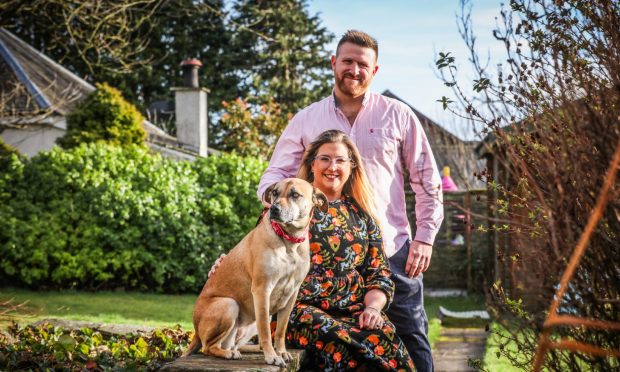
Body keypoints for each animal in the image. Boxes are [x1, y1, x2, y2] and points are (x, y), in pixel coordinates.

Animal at [184, 177, 330, 366]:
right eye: (275, 192)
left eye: (295, 194)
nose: (274, 209)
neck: (289, 241)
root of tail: (195, 331)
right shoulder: (262, 290)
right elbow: (266, 330)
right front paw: (272, 356)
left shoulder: (291, 295)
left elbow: (280, 331)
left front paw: (281, 352)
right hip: (229, 304)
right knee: (208, 347)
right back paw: (229, 353)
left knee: (231, 344)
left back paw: (244, 350)